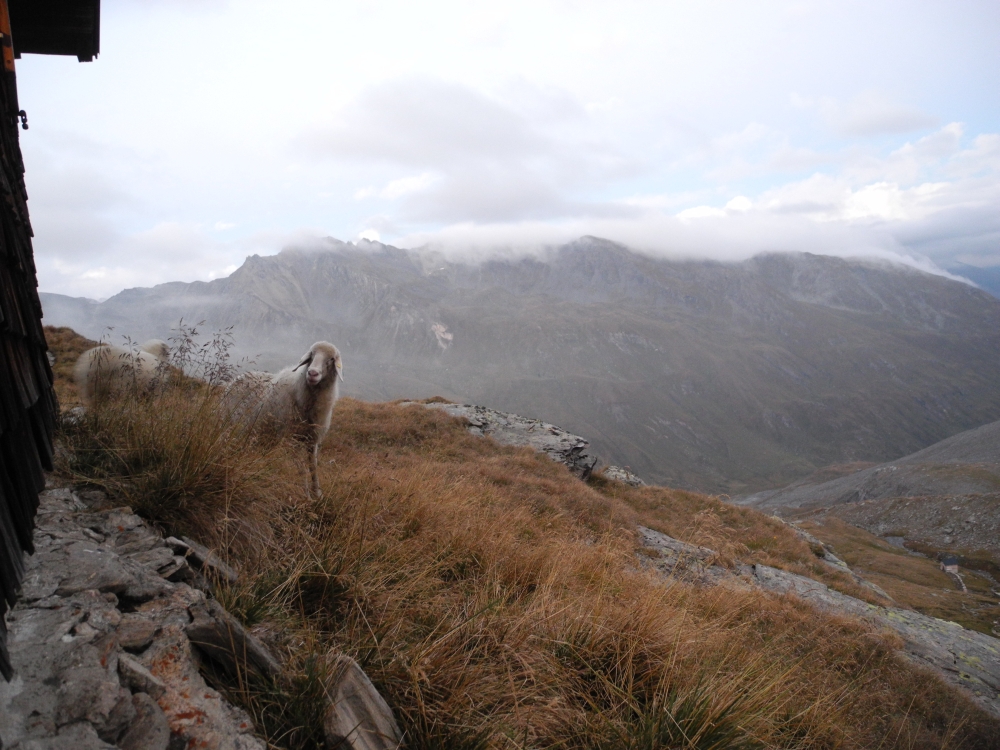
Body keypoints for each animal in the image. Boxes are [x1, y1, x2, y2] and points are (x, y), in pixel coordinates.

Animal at [226, 342, 344, 496]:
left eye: (331, 359)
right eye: (312, 354)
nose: (312, 373)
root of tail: (236, 378)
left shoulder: (312, 440)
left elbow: (313, 466)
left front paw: (317, 494)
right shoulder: (290, 439)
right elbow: (301, 469)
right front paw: (306, 495)